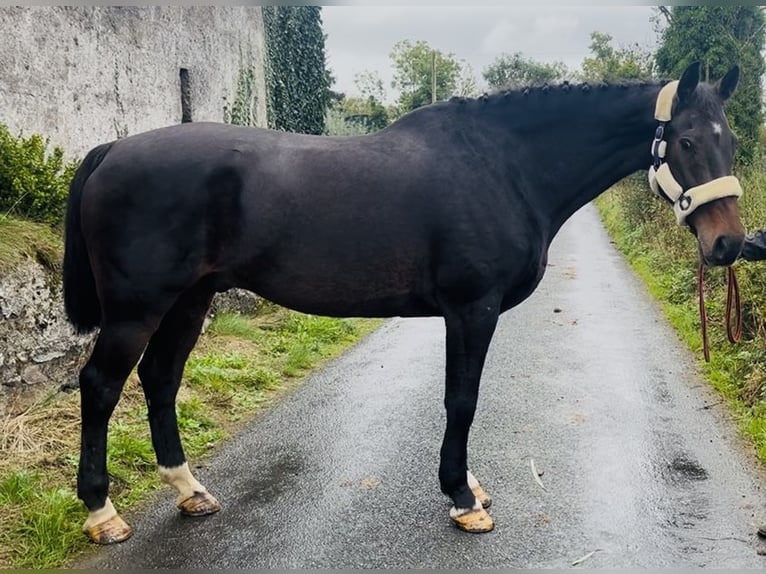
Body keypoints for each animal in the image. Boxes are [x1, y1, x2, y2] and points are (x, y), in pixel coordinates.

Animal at [63, 61, 745, 543]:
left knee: (160, 378)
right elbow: (461, 399)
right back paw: (101, 513)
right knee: (100, 386)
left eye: (732, 140)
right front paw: (464, 499)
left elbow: (461, 399)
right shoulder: (472, 308)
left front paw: (468, 486)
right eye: (686, 142)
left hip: (190, 299)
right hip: (137, 309)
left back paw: (188, 490)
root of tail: (110, 151)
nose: (730, 243)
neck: (504, 166)